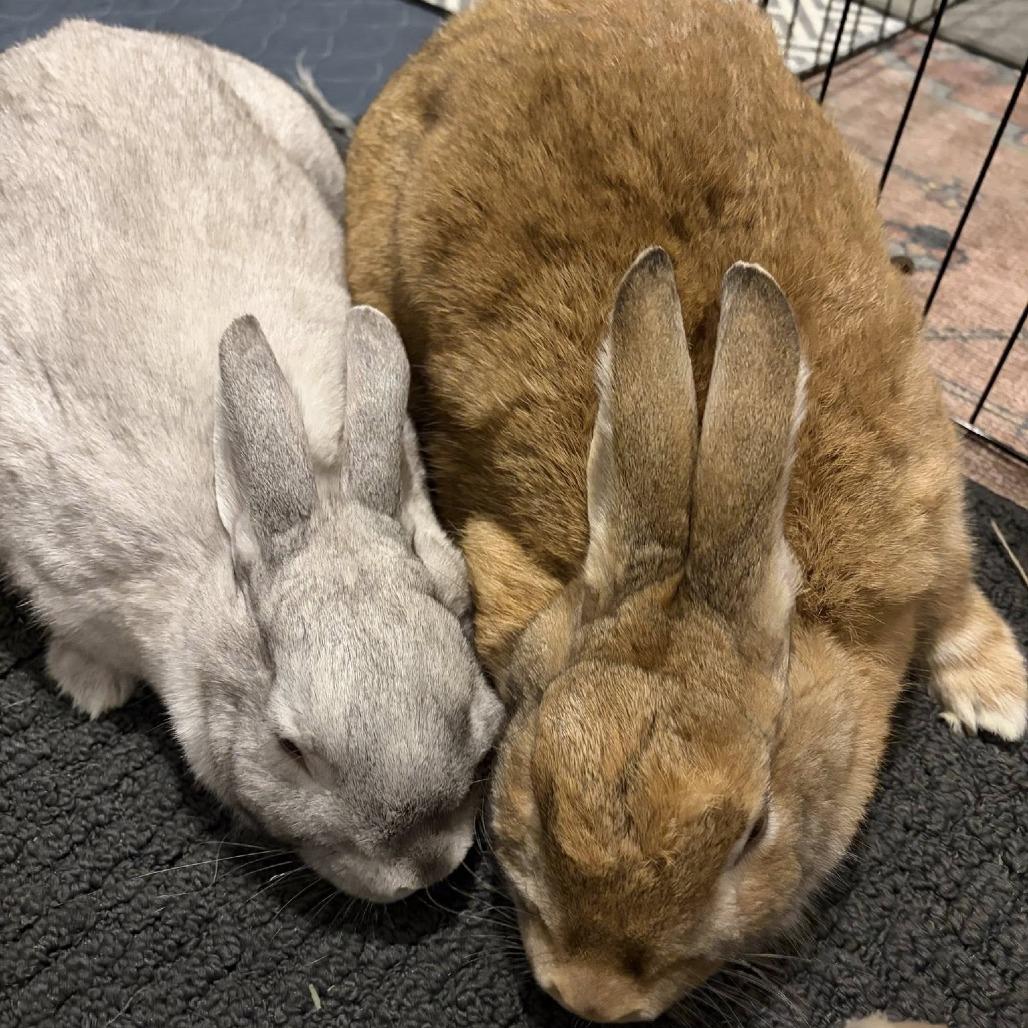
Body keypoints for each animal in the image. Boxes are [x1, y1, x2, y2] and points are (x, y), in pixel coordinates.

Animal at [343, 0, 1028, 1017]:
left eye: (755, 833)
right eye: (533, 790)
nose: (590, 998)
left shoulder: (931, 516)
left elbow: (958, 604)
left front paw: (1003, 699)